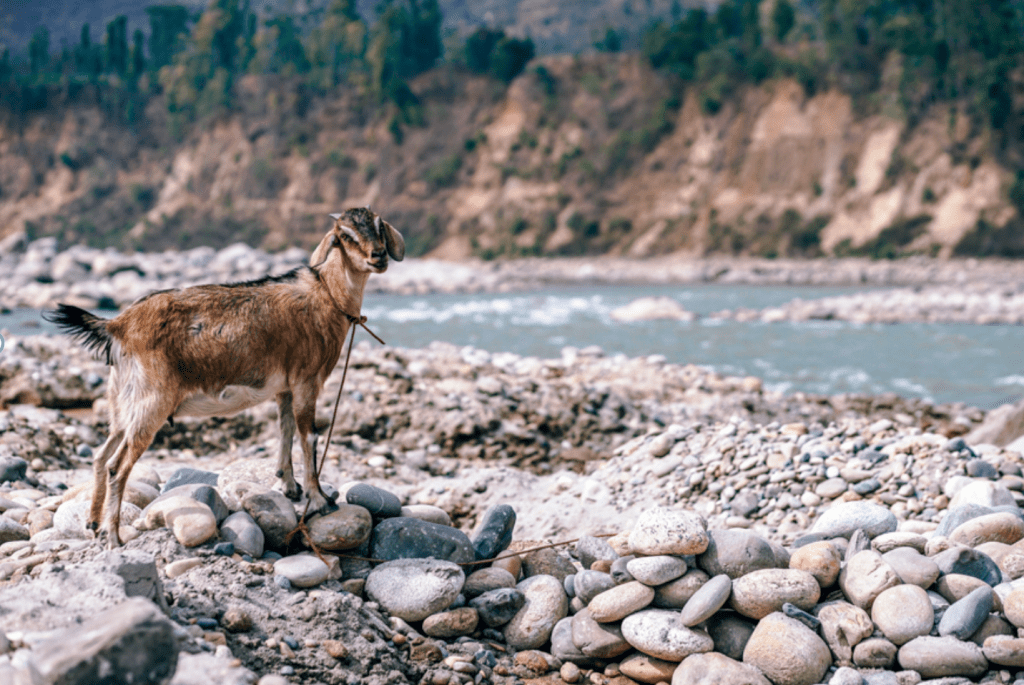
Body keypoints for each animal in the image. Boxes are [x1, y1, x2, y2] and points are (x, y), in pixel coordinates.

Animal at [46, 208, 404, 547]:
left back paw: (93, 523)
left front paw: (289, 486)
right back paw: (113, 536)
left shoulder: (285, 388)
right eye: (345, 235)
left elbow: (285, 430)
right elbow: (309, 438)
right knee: (116, 467)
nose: (378, 256)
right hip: (152, 404)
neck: (327, 295)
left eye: (378, 224)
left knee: (100, 455)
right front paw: (321, 500)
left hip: (122, 403)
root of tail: (118, 325)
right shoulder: (306, 380)